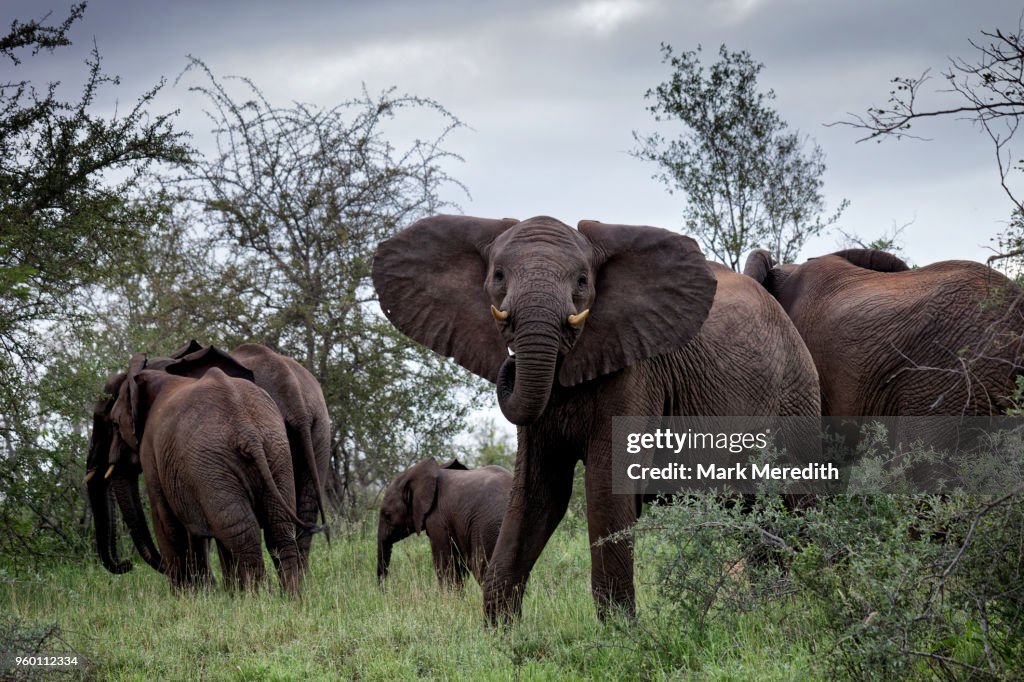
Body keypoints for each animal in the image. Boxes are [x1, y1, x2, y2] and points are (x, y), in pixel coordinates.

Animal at [87, 339, 331, 573]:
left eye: (111, 424)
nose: (127, 564)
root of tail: (295, 395)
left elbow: (172, 524)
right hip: (308, 437)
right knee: (290, 523)